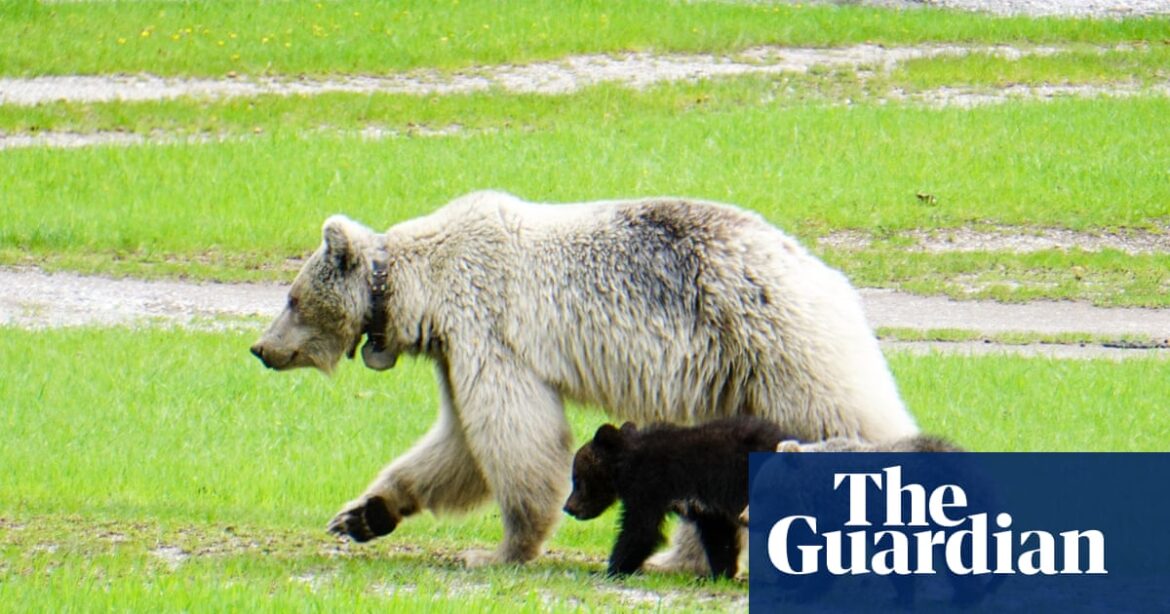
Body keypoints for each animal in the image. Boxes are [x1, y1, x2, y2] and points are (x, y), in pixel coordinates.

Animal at [251, 190, 917, 570]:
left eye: (290, 298)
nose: (260, 348)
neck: (421, 290)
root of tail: (827, 273)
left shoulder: (487, 329)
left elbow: (515, 435)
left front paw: (497, 550)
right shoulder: (453, 351)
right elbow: (457, 445)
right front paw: (362, 514)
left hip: (777, 346)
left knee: (847, 420)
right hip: (734, 378)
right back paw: (684, 559)